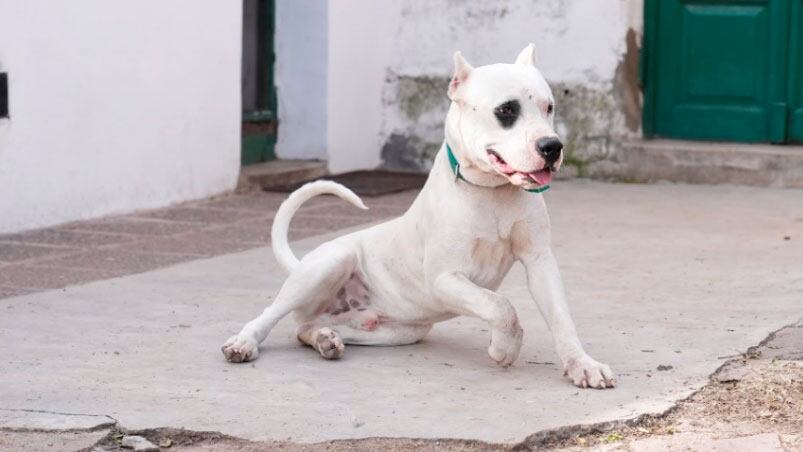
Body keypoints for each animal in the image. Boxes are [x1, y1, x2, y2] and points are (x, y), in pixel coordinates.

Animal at [225, 43, 616, 388]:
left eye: (549, 107)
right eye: (507, 110)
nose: (552, 146)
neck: (493, 192)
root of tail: (302, 263)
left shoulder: (539, 262)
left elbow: (561, 318)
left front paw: (582, 365)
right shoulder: (444, 278)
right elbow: (500, 305)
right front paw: (504, 347)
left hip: (396, 332)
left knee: (304, 328)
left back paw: (325, 338)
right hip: (331, 262)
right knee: (271, 315)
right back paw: (244, 342)